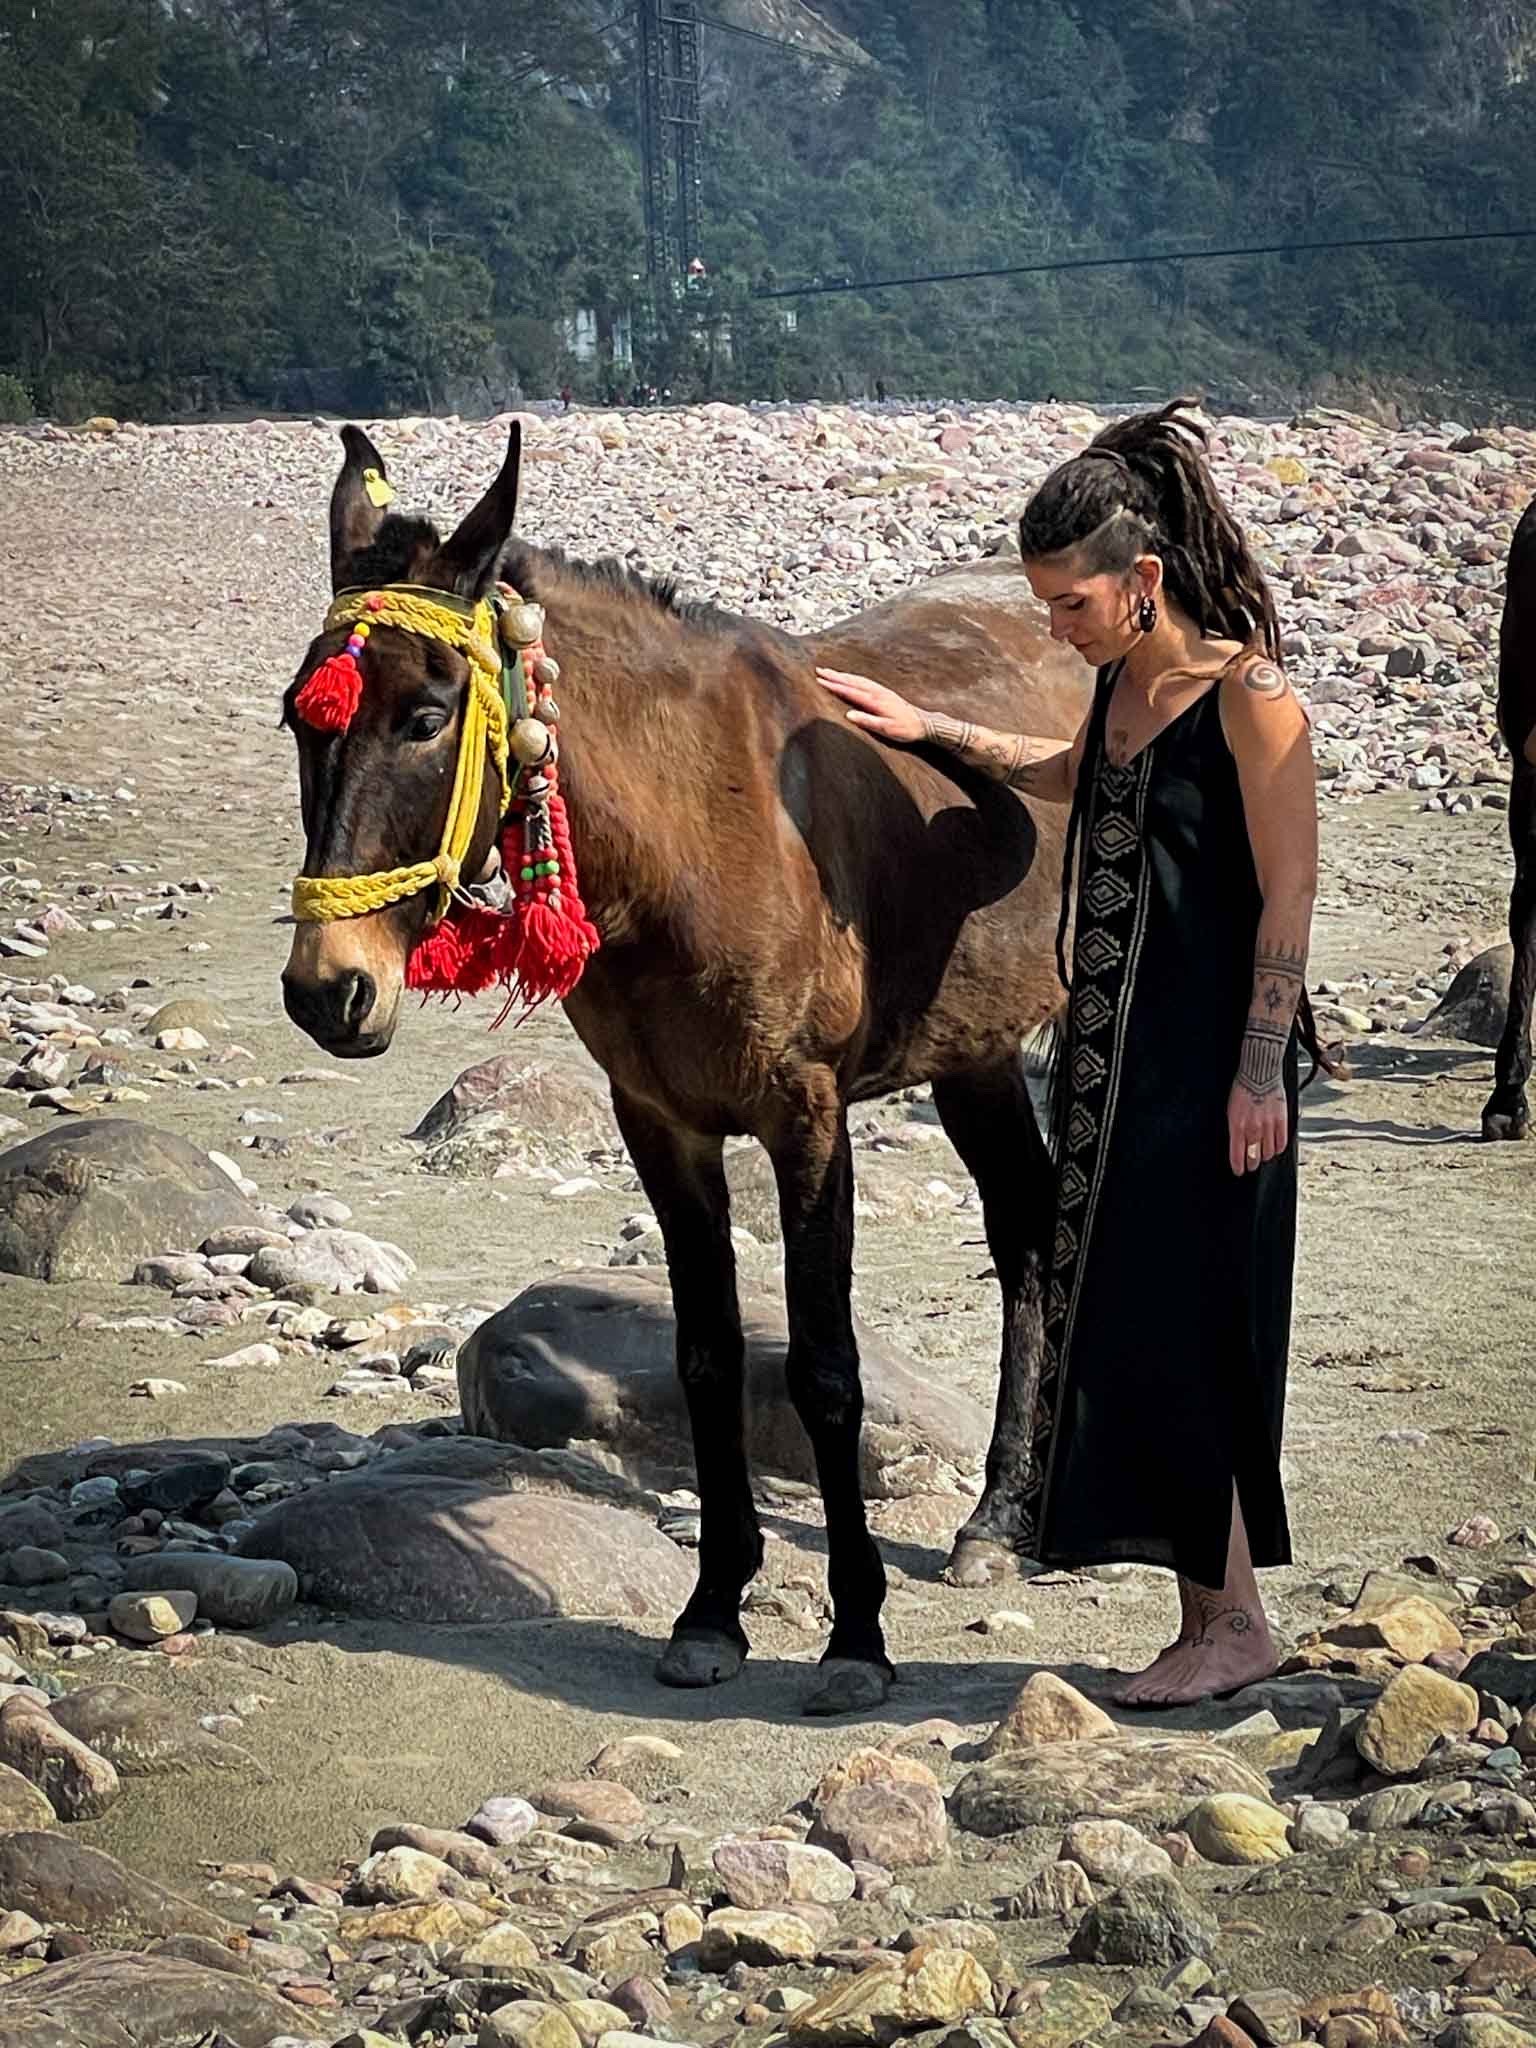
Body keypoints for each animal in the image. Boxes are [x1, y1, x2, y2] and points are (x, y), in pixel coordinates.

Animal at [281, 422, 1088, 1715]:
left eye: (427, 714)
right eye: (300, 720)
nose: (328, 987)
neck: (695, 831)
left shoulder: (807, 1116)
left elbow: (825, 1369)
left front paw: (856, 1632)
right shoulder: (661, 1120)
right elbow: (705, 1358)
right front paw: (713, 1605)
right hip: (975, 1054)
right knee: (1024, 1239)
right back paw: (999, 1515)